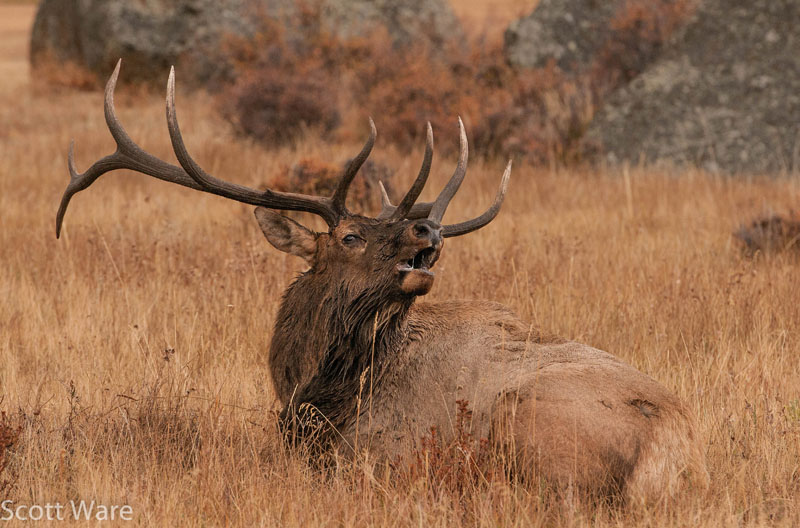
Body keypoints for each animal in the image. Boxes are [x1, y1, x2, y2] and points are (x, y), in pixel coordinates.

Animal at [56, 61, 707, 504]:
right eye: (349, 237)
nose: (428, 230)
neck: (315, 391)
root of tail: (672, 449)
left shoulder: (372, 454)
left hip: (527, 423)